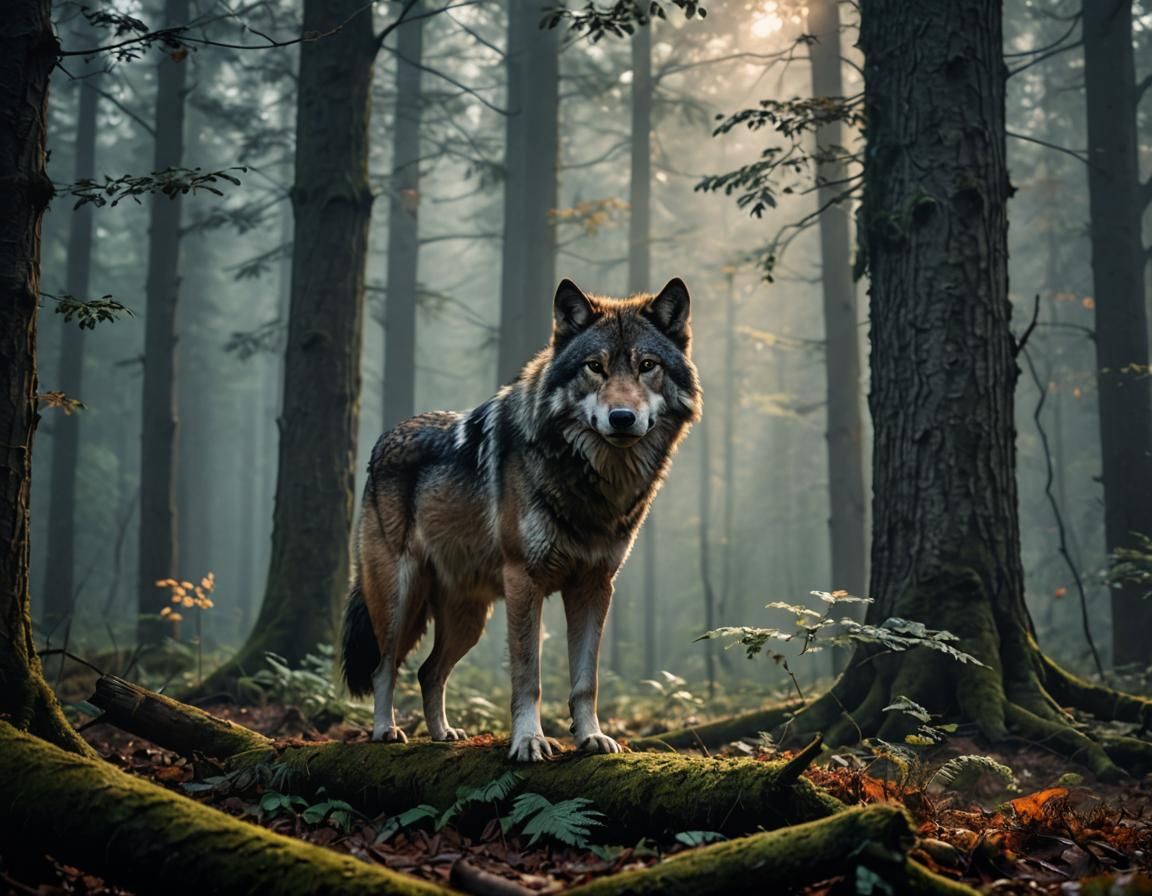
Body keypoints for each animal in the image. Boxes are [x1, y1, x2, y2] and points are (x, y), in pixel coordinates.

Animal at [341, 278, 700, 761]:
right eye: (595, 367)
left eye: (647, 366)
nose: (622, 417)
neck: (590, 483)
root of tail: (382, 441)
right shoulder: (524, 581)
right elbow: (528, 678)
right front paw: (529, 740)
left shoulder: (594, 586)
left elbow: (586, 681)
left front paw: (591, 737)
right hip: (399, 598)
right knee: (385, 665)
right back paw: (386, 730)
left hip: (468, 620)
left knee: (429, 672)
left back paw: (442, 734)